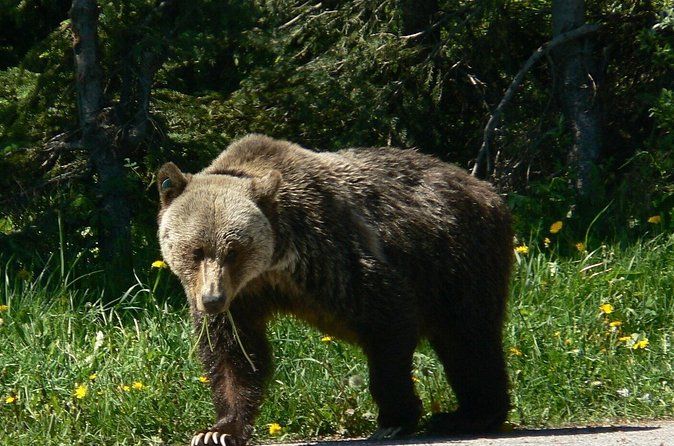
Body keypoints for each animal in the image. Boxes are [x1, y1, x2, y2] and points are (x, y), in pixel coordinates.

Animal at [156, 134, 513, 446]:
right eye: (196, 250)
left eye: (233, 250)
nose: (212, 299)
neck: (271, 267)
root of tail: (486, 188)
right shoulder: (242, 298)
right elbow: (234, 353)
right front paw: (218, 430)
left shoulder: (327, 251)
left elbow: (387, 316)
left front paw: (395, 418)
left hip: (457, 256)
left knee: (468, 336)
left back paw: (471, 414)